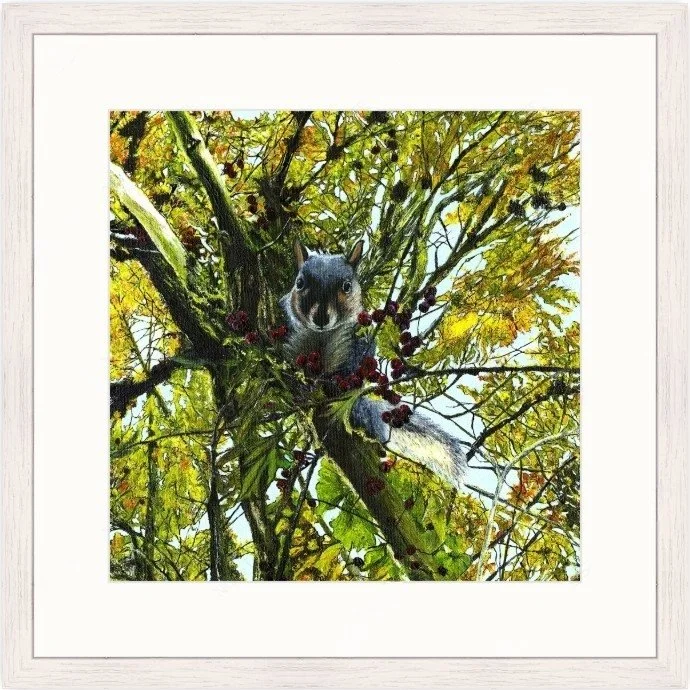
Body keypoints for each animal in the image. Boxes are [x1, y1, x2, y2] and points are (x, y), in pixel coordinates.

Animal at [279, 239, 467, 490]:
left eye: (347, 286)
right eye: (299, 283)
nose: (320, 318)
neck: (321, 335)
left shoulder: (360, 338)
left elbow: (355, 365)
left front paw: (337, 382)